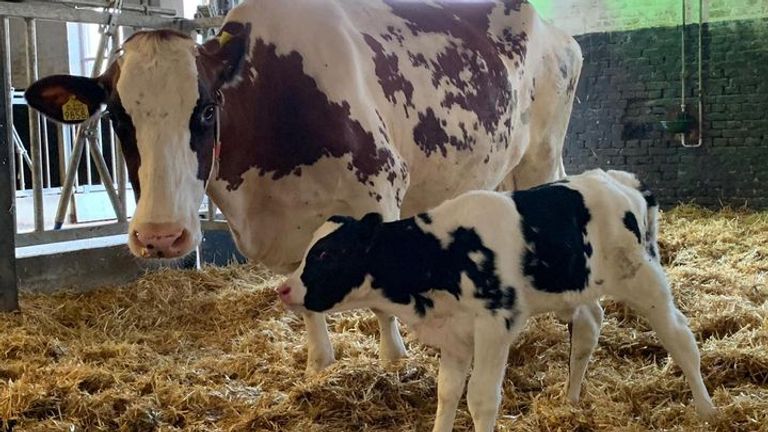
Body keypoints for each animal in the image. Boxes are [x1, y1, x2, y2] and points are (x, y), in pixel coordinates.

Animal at [25, 0, 588, 374]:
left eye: (206, 109)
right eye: (118, 118)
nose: (161, 237)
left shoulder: (379, 188)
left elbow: (380, 301)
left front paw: (394, 357)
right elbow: (297, 293)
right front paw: (321, 361)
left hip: (541, 154)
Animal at [280, 170, 716, 432]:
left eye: (327, 254)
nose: (283, 289)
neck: (439, 252)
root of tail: (619, 180)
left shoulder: (493, 324)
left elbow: (481, 398)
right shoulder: (455, 334)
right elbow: (448, 393)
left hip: (645, 278)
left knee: (681, 338)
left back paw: (707, 410)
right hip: (581, 288)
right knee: (589, 328)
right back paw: (571, 398)